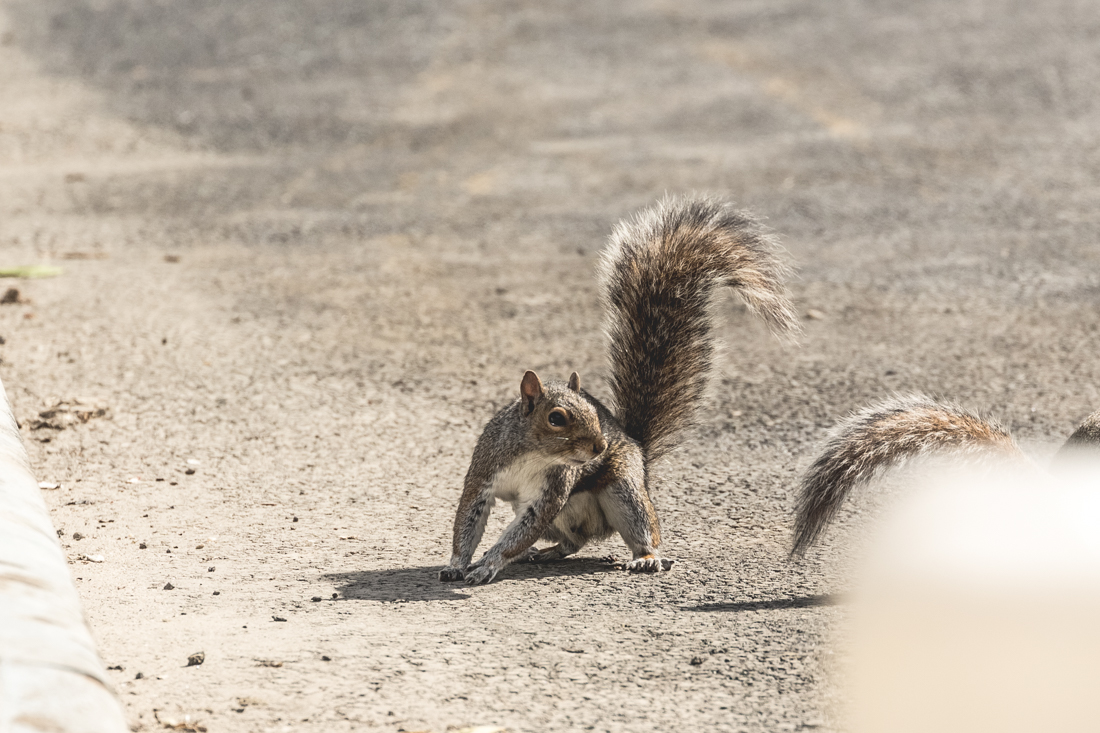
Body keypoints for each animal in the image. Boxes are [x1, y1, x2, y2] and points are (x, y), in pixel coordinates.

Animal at [435, 193, 800, 581]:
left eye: (595, 414)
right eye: (556, 418)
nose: (600, 447)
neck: (535, 454)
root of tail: (637, 447)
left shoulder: (550, 493)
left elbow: (518, 533)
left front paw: (489, 563)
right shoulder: (484, 475)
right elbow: (467, 522)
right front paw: (456, 564)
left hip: (624, 493)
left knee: (635, 531)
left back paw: (646, 557)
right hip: (563, 517)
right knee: (571, 542)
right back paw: (540, 552)